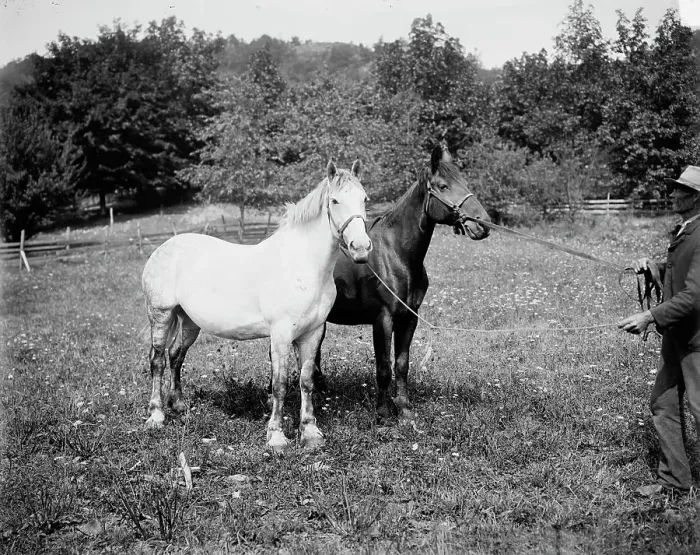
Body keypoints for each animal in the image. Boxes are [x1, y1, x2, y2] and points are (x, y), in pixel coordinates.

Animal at [141, 159, 372, 453]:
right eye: (335, 200)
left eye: (364, 199)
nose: (361, 248)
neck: (302, 266)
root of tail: (163, 248)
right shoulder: (281, 334)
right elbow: (280, 384)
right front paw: (276, 437)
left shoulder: (313, 333)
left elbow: (306, 381)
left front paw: (310, 433)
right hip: (160, 315)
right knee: (158, 360)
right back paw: (156, 416)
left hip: (189, 322)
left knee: (175, 356)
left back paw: (180, 406)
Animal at [314, 144, 491, 422]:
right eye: (443, 186)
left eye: (464, 182)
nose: (482, 224)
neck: (396, 254)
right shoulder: (383, 319)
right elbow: (384, 367)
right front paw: (383, 413)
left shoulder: (409, 318)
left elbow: (401, 364)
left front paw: (405, 409)